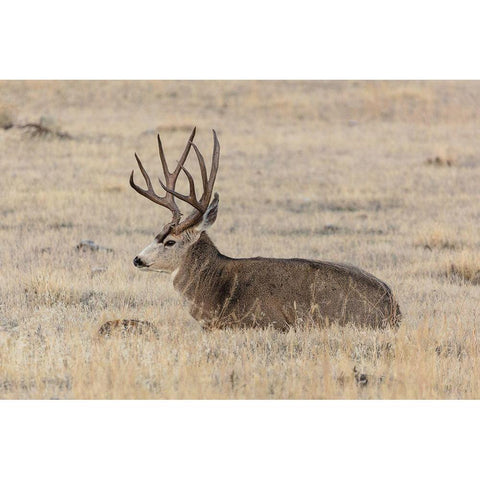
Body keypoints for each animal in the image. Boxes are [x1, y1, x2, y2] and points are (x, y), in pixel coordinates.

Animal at [128, 127, 402, 330]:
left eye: (170, 241)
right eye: (156, 234)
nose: (137, 259)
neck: (216, 289)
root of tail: (393, 308)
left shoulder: (263, 321)